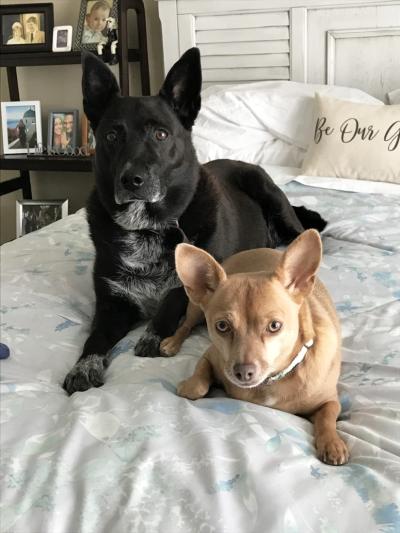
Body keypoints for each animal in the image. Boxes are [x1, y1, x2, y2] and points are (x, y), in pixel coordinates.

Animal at [62, 47, 324, 392]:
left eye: (161, 134)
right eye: (112, 135)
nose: (131, 180)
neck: (147, 226)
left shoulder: (195, 284)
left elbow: (170, 305)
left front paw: (152, 336)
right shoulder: (110, 302)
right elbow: (95, 336)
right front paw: (83, 367)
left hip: (266, 189)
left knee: (301, 231)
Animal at [164, 231, 348, 464]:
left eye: (274, 326)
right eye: (222, 326)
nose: (243, 372)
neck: (271, 381)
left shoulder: (331, 401)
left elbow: (327, 416)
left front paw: (332, 443)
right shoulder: (212, 355)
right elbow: (198, 383)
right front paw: (189, 386)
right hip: (195, 309)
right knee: (185, 325)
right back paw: (171, 343)